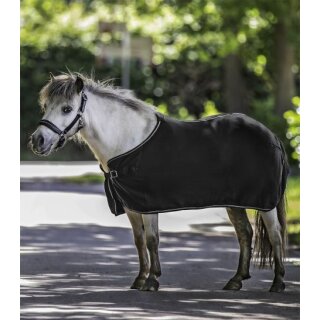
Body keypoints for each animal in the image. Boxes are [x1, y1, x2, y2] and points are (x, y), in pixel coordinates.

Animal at [30, 72, 288, 292]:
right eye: (46, 107)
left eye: (67, 108)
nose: (37, 141)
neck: (127, 140)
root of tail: (272, 136)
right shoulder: (132, 206)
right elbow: (139, 240)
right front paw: (140, 279)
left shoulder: (147, 203)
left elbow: (152, 240)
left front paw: (152, 280)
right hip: (235, 203)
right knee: (245, 233)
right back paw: (236, 281)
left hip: (265, 203)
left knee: (275, 235)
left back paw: (277, 283)